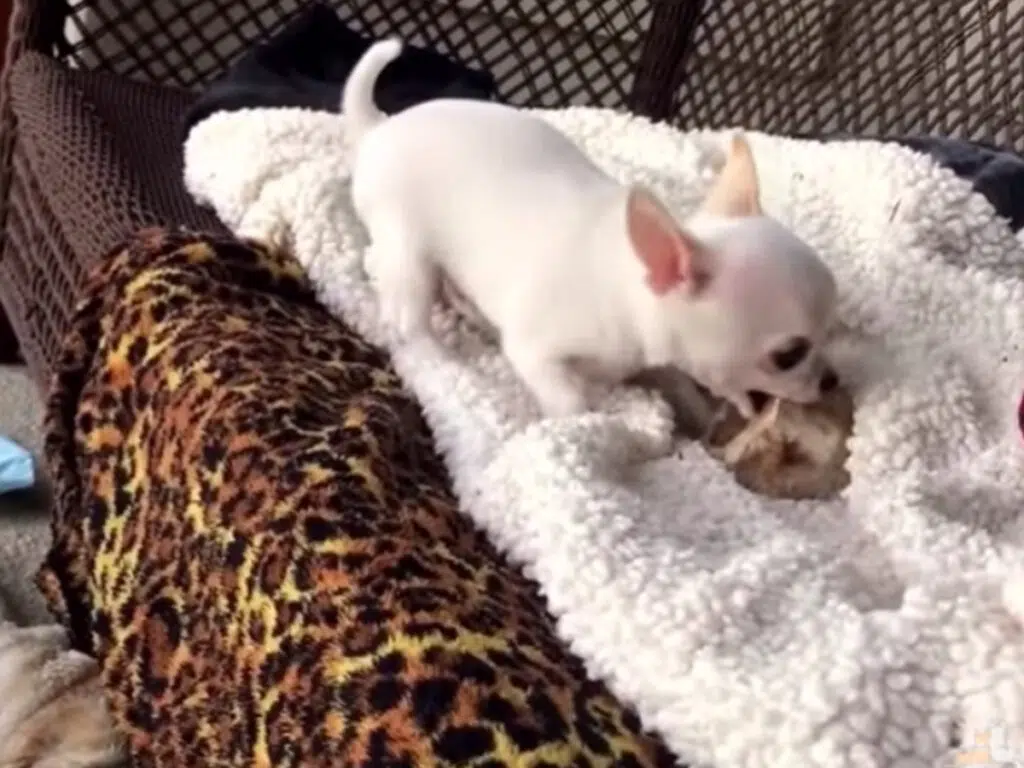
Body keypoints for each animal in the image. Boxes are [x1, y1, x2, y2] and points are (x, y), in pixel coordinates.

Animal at [344, 39, 839, 417]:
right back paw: (442, 361)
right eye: (789, 356)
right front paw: (592, 423)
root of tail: (378, 127)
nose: (832, 381)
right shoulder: (534, 350)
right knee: (408, 317)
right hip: (407, 250)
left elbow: (680, 383)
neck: (631, 290)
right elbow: (570, 400)